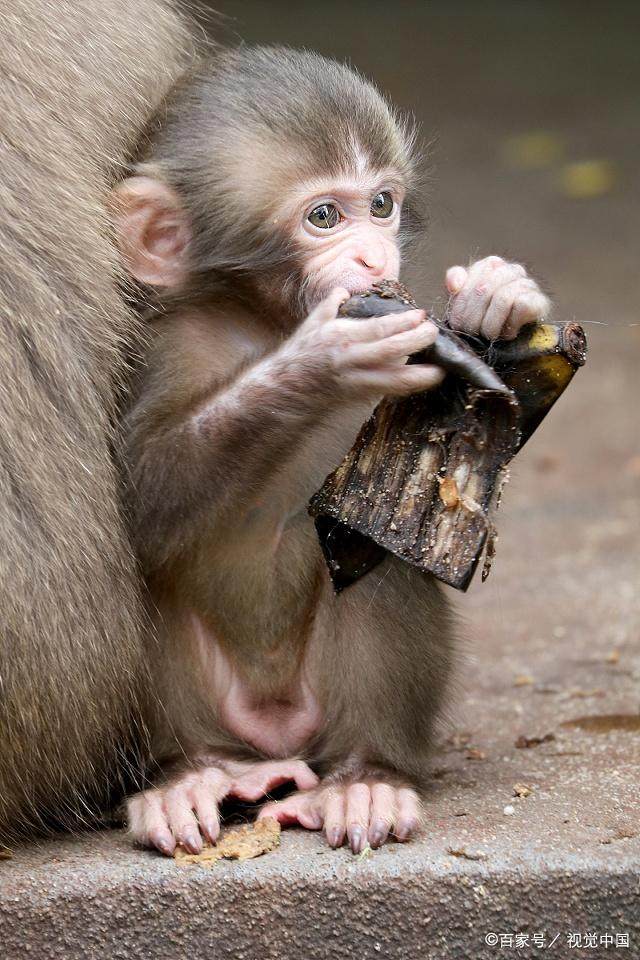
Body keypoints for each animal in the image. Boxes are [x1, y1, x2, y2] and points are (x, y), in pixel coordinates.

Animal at [111, 47, 552, 856]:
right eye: (323, 216)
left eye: (381, 204)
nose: (374, 254)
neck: (262, 321)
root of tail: (276, 732)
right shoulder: (158, 348)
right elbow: (140, 503)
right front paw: (320, 361)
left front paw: (497, 297)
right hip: (220, 710)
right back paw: (189, 775)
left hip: (324, 712)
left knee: (369, 549)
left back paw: (365, 777)